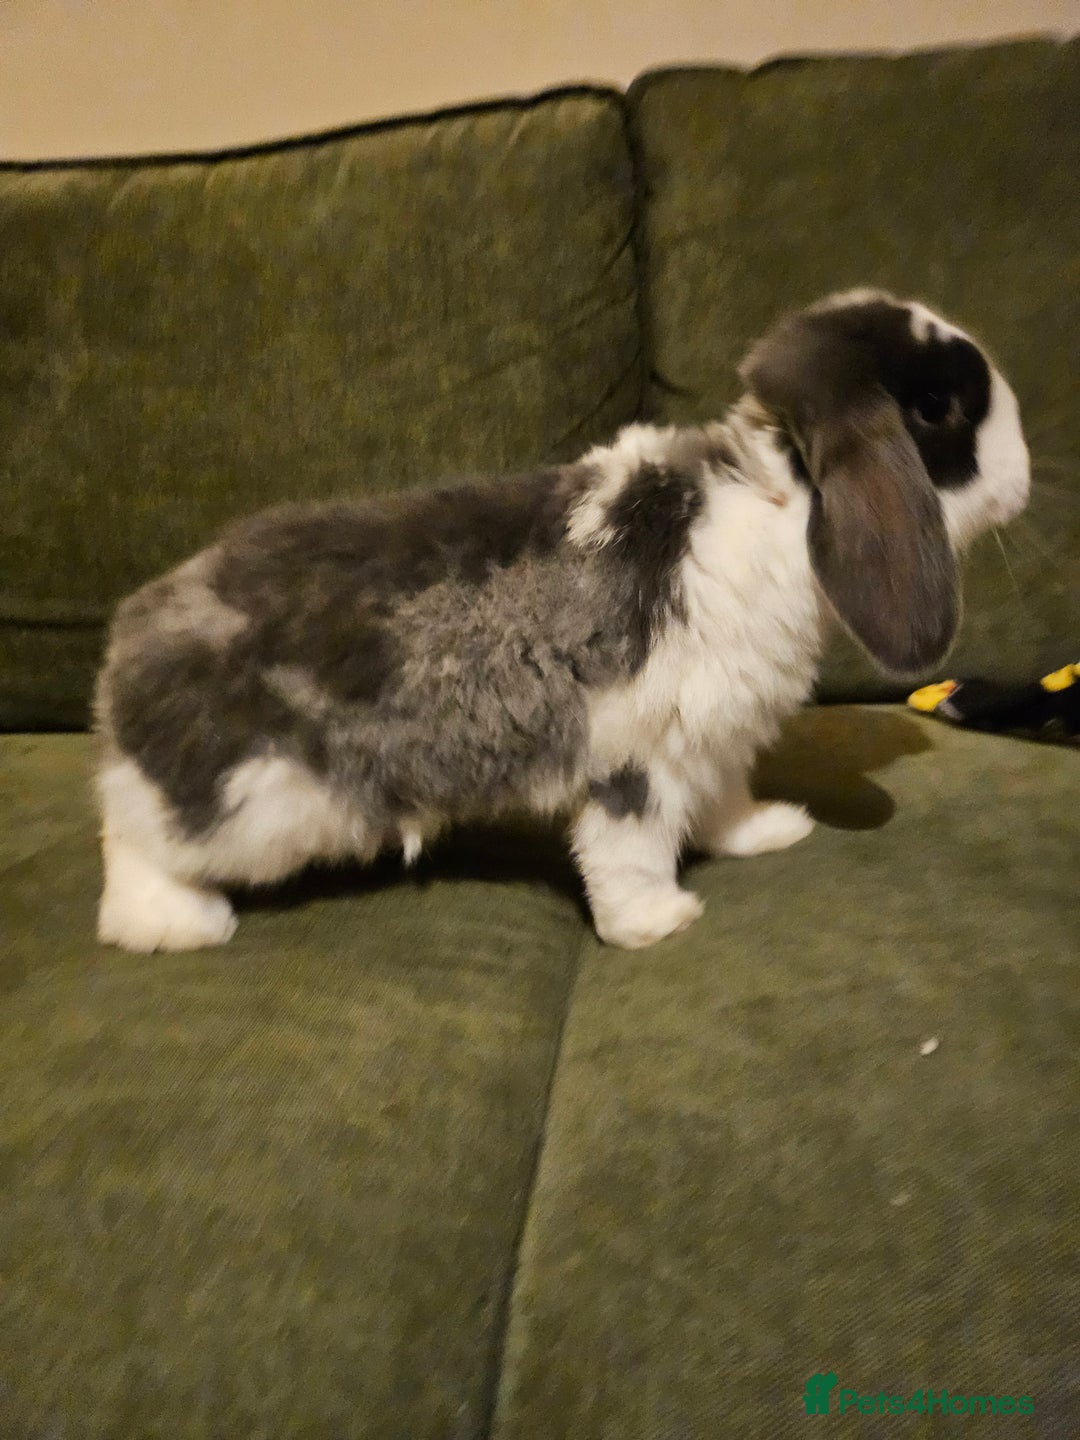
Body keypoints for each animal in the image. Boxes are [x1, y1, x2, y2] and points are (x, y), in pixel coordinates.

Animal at [95, 288, 1030, 952]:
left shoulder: (713, 739)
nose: (1023, 477)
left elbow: (724, 801)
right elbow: (631, 852)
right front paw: (657, 924)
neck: (777, 500)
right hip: (249, 800)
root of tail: (132, 636)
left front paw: (766, 832)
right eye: (937, 409)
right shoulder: (638, 756)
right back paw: (174, 926)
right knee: (133, 837)